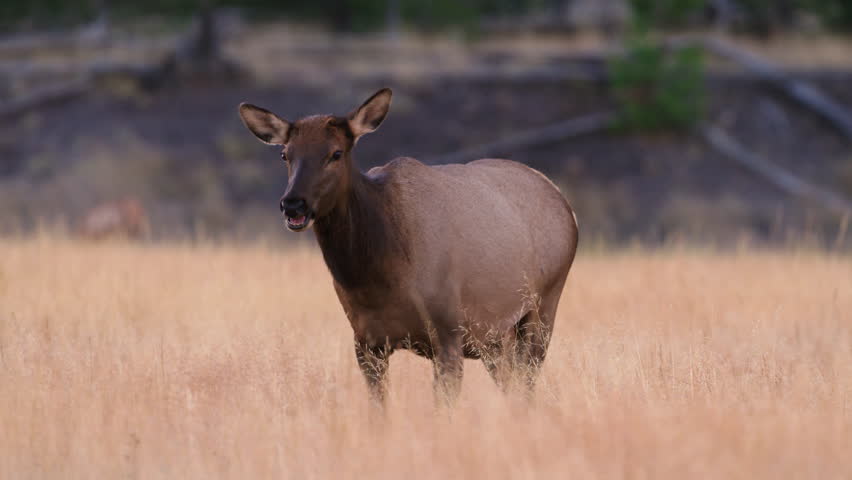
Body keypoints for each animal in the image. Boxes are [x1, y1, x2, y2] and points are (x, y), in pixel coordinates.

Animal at [238, 88, 578, 407]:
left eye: (336, 153)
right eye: (285, 154)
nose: (293, 204)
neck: (379, 277)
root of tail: (565, 203)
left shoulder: (449, 331)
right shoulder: (366, 341)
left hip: (544, 305)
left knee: (528, 384)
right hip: (497, 337)